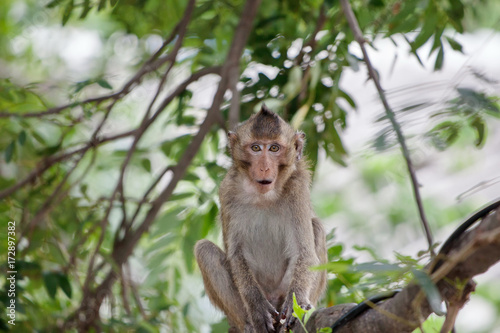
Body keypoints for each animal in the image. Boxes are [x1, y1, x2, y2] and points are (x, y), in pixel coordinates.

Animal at [193, 105, 326, 330]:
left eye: (274, 148)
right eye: (256, 148)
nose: (264, 167)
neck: (263, 196)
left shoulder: (297, 187)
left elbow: (305, 252)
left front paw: (297, 304)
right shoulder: (227, 190)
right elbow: (236, 254)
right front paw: (256, 308)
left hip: (281, 294)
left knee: (316, 226)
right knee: (204, 249)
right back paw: (248, 324)